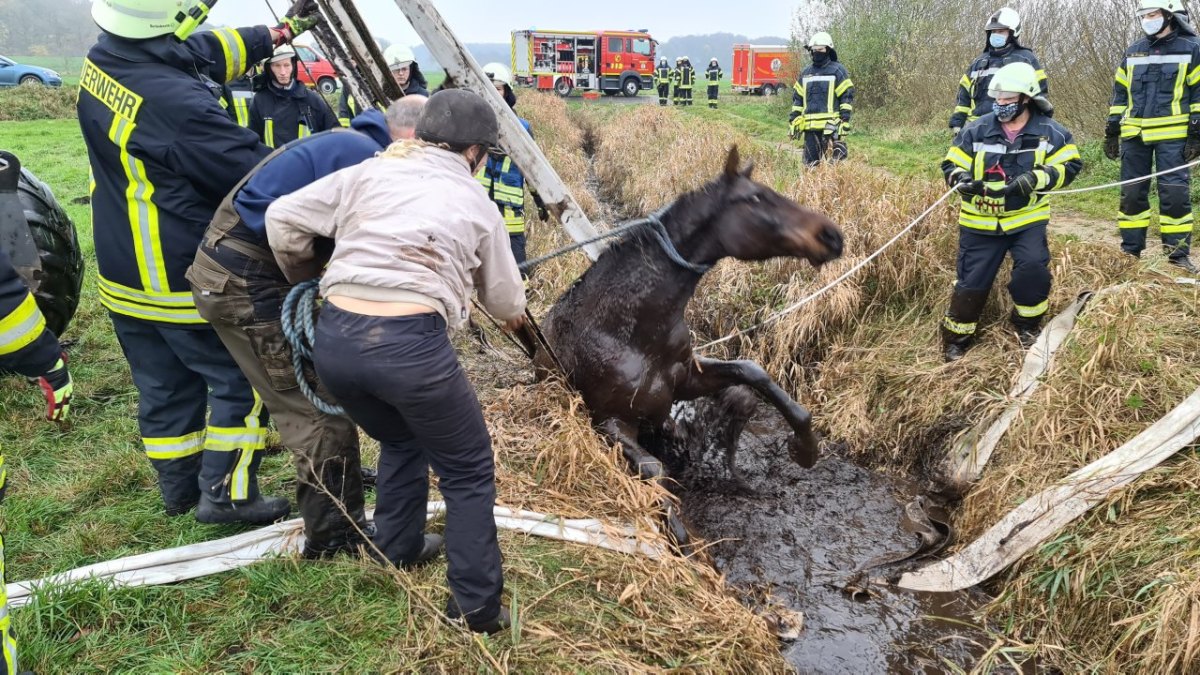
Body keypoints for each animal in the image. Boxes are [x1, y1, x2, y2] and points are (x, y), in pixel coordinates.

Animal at [535, 145, 844, 540]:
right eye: (755, 199)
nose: (831, 236)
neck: (627, 332)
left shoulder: (687, 378)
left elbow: (753, 373)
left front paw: (806, 449)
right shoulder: (609, 421)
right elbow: (654, 471)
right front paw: (687, 543)